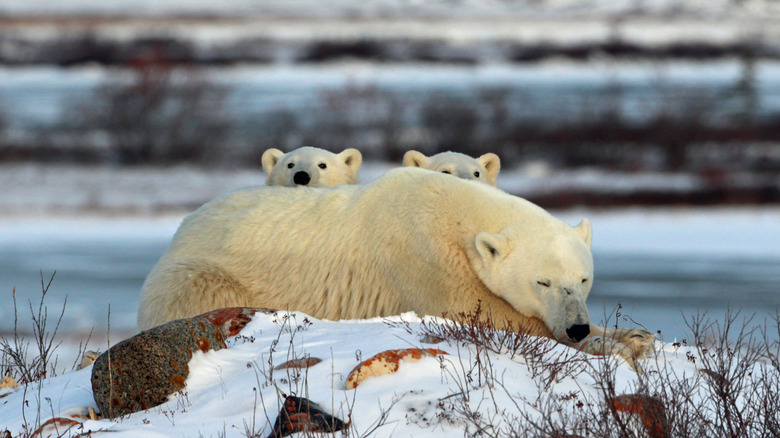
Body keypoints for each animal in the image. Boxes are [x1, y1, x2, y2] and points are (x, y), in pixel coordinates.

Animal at [137, 168, 654, 368]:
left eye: (582, 278)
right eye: (542, 280)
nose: (578, 327)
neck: (457, 216)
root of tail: (180, 228)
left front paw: (634, 335)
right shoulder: (422, 256)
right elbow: (489, 315)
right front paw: (616, 347)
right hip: (199, 273)